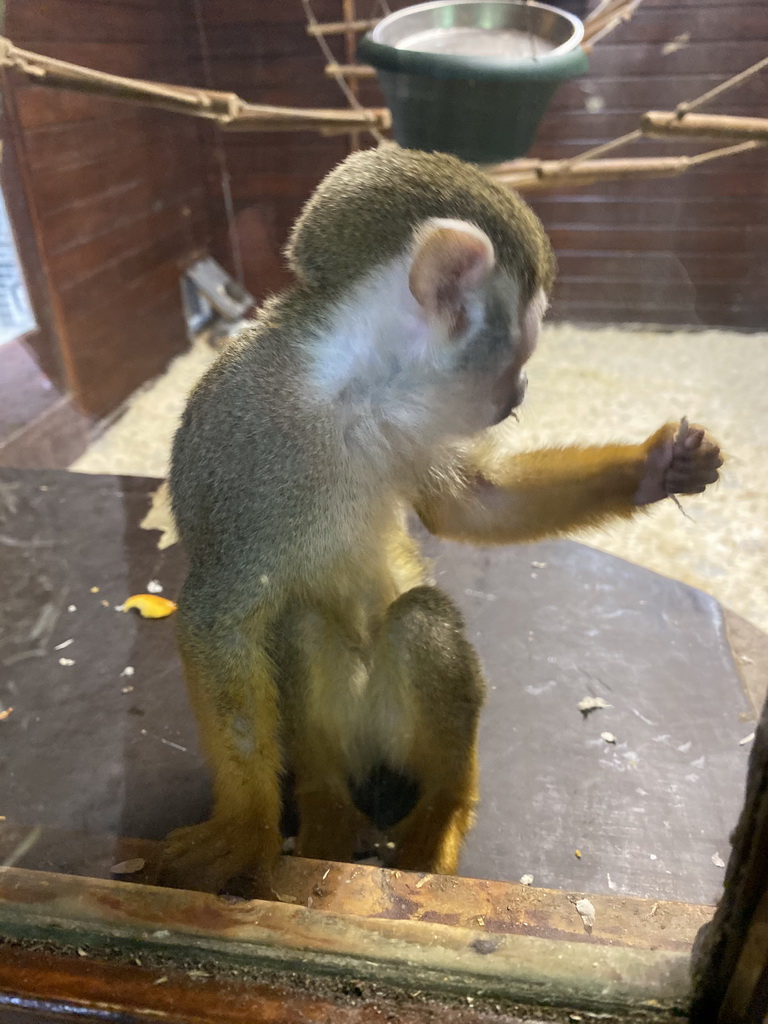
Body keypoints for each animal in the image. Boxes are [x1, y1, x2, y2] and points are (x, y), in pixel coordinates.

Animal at [165, 144, 724, 897]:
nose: (522, 389)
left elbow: (472, 505)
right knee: (306, 625)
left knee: (418, 621)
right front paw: (248, 824)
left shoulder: (412, 419)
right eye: (524, 346)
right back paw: (325, 799)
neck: (350, 387)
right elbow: (216, 616)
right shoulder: (240, 443)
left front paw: (654, 467)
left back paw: (445, 803)